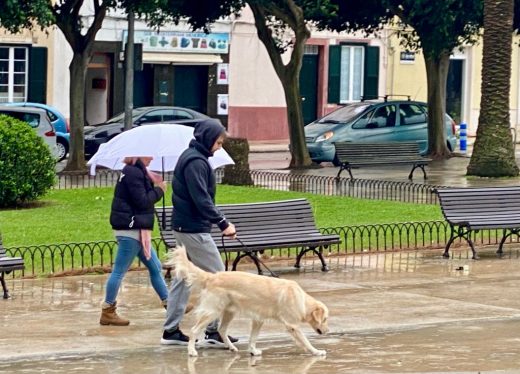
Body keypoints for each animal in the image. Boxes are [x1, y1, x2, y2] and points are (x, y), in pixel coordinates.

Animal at [169, 245, 328, 356]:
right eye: (325, 319)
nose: (327, 331)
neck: (300, 299)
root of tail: (212, 276)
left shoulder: (258, 319)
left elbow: (253, 337)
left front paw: (253, 351)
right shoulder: (292, 325)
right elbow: (306, 341)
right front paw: (316, 351)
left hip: (229, 311)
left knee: (222, 329)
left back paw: (231, 347)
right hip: (213, 311)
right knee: (194, 330)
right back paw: (191, 351)